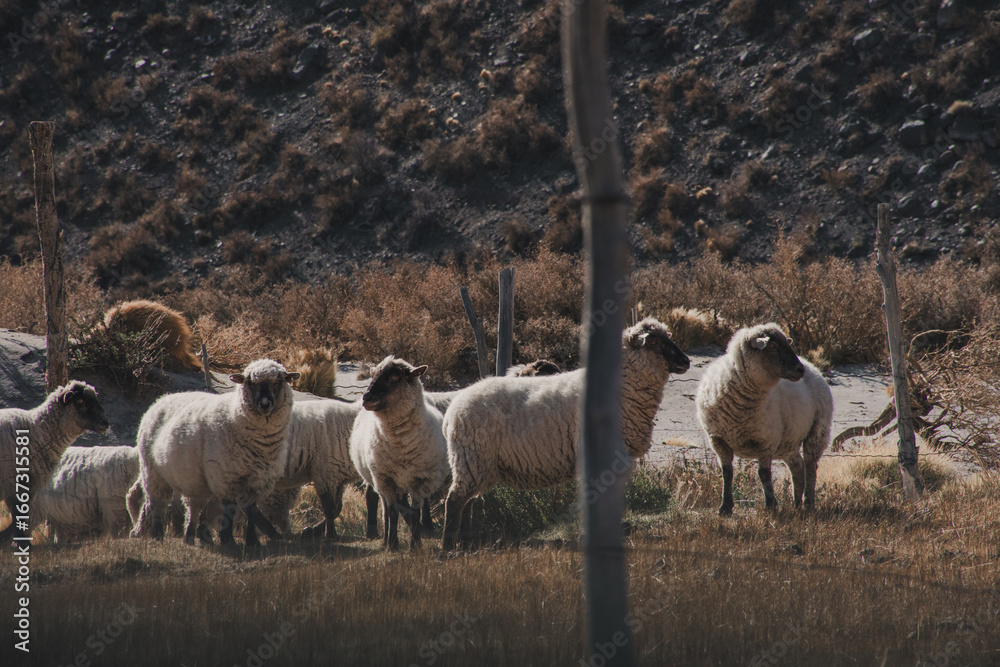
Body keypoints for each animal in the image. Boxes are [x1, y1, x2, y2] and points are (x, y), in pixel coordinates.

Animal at [129, 359, 300, 547]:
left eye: (279, 381)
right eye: (250, 382)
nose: (264, 404)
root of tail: (162, 398)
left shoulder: (260, 479)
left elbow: (251, 509)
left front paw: (252, 541)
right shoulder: (226, 476)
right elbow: (230, 508)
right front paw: (228, 540)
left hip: (198, 479)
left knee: (196, 506)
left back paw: (194, 537)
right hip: (153, 471)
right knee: (158, 503)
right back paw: (158, 535)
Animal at [349, 356, 449, 550]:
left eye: (395, 378)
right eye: (373, 374)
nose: (366, 398)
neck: (401, 444)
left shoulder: (420, 480)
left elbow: (415, 512)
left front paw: (415, 545)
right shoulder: (385, 479)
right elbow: (392, 512)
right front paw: (393, 544)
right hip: (381, 480)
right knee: (385, 508)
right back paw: (385, 539)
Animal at [441, 318, 690, 550]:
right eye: (654, 342)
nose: (686, 361)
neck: (624, 386)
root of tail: (452, 411)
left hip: (477, 464)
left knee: (468, 502)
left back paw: (467, 542)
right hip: (471, 459)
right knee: (454, 500)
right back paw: (448, 547)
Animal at [695, 323, 833, 516]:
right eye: (773, 346)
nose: (800, 370)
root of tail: (813, 367)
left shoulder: (766, 441)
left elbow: (764, 474)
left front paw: (771, 506)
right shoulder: (718, 440)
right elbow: (727, 472)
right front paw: (725, 507)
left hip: (817, 432)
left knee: (810, 467)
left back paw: (808, 504)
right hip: (788, 441)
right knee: (797, 467)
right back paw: (796, 504)